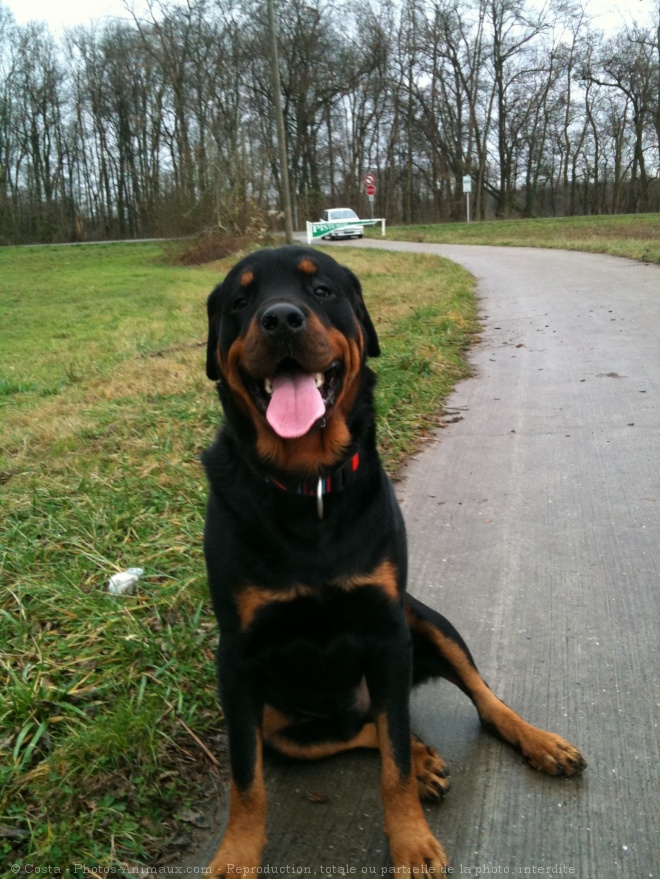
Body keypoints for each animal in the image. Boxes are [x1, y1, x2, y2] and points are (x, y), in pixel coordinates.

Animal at [204, 246, 584, 872]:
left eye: (323, 290)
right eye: (241, 299)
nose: (280, 319)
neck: (307, 487)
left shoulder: (387, 632)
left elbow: (395, 769)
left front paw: (412, 841)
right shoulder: (237, 659)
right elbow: (245, 780)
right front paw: (235, 857)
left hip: (423, 621)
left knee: (471, 703)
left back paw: (536, 741)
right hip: (282, 726)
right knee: (363, 730)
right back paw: (425, 756)